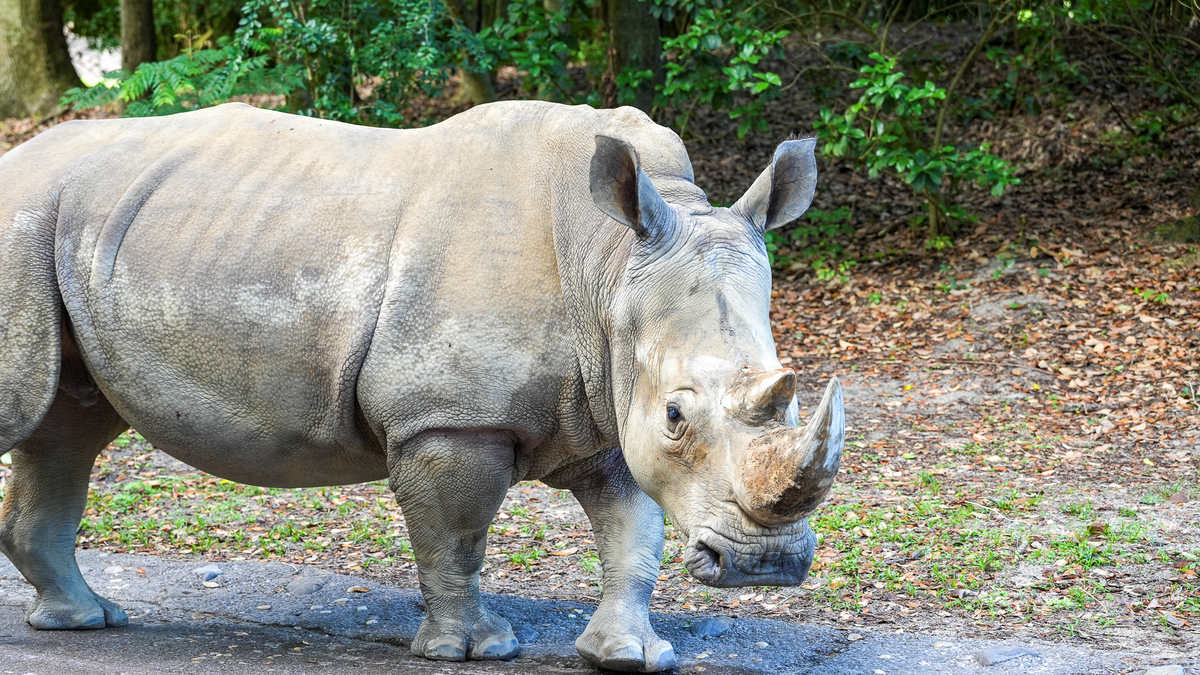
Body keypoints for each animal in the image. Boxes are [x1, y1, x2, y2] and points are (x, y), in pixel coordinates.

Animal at [0, 101, 844, 672]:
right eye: (676, 415)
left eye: (797, 397)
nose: (766, 565)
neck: (607, 263)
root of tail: (21, 154)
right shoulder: (450, 418)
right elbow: (458, 533)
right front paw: (474, 648)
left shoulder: (607, 401)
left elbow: (632, 533)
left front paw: (630, 654)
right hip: (22, 222)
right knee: (38, 420)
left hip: (83, 231)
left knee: (67, 428)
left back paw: (84, 620)